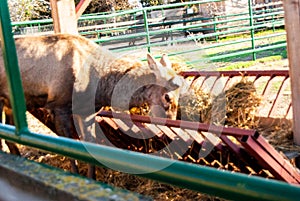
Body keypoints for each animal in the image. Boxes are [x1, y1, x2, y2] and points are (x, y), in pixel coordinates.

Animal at [0, 33, 188, 178]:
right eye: (168, 97)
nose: (171, 125)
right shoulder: (59, 106)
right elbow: (69, 145)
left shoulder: (86, 112)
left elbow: (89, 144)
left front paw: (93, 177)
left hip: (9, 104)